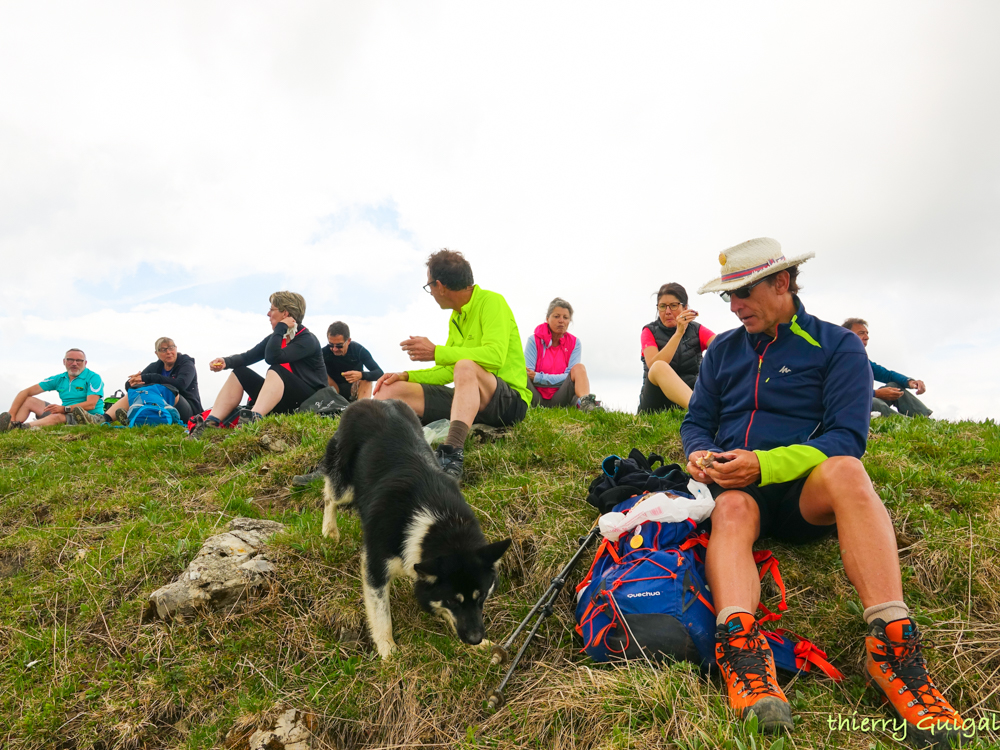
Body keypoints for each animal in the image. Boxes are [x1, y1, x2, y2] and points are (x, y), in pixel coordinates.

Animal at [320, 400, 512, 656]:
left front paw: (481, 646)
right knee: (329, 496)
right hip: (344, 483)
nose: (474, 639)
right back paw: (329, 530)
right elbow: (381, 615)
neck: (441, 525)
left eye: (481, 598)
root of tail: (372, 401)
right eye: (453, 600)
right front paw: (389, 652)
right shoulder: (375, 566)